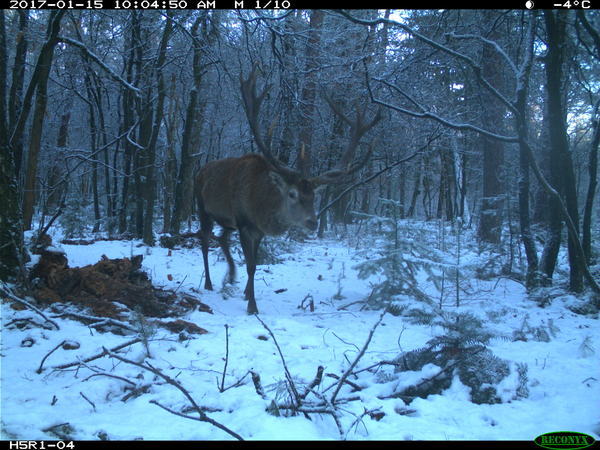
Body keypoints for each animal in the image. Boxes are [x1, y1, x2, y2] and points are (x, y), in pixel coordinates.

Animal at [195, 66, 381, 314]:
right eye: (292, 194)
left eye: (314, 196)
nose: (312, 222)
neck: (260, 207)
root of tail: (200, 171)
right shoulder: (244, 223)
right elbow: (252, 265)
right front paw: (252, 306)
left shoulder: (256, 229)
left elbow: (255, 262)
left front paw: (246, 293)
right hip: (202, 206)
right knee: (205, 240)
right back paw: (208, 282)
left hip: (227, 220)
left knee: (222, 238)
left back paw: (230, 277)